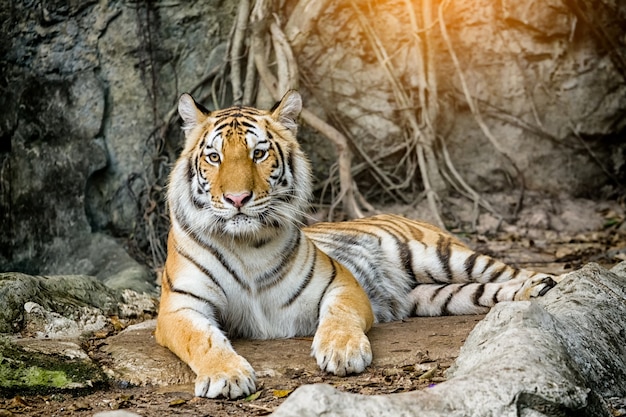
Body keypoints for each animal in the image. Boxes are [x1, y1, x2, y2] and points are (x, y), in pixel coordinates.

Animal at [156, 89, 556, 398]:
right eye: (214, 157)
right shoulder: (180, 307)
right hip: (435, 296)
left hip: (440, 256)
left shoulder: (340, 282)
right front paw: (226, 376)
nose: (238, 199)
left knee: (508, 270)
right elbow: (202, 340)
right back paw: (533, 291)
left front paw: (343, 351)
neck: (246, 244)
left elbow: (339, 315)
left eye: (259, 153)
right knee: (483, 291)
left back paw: (547, 283)